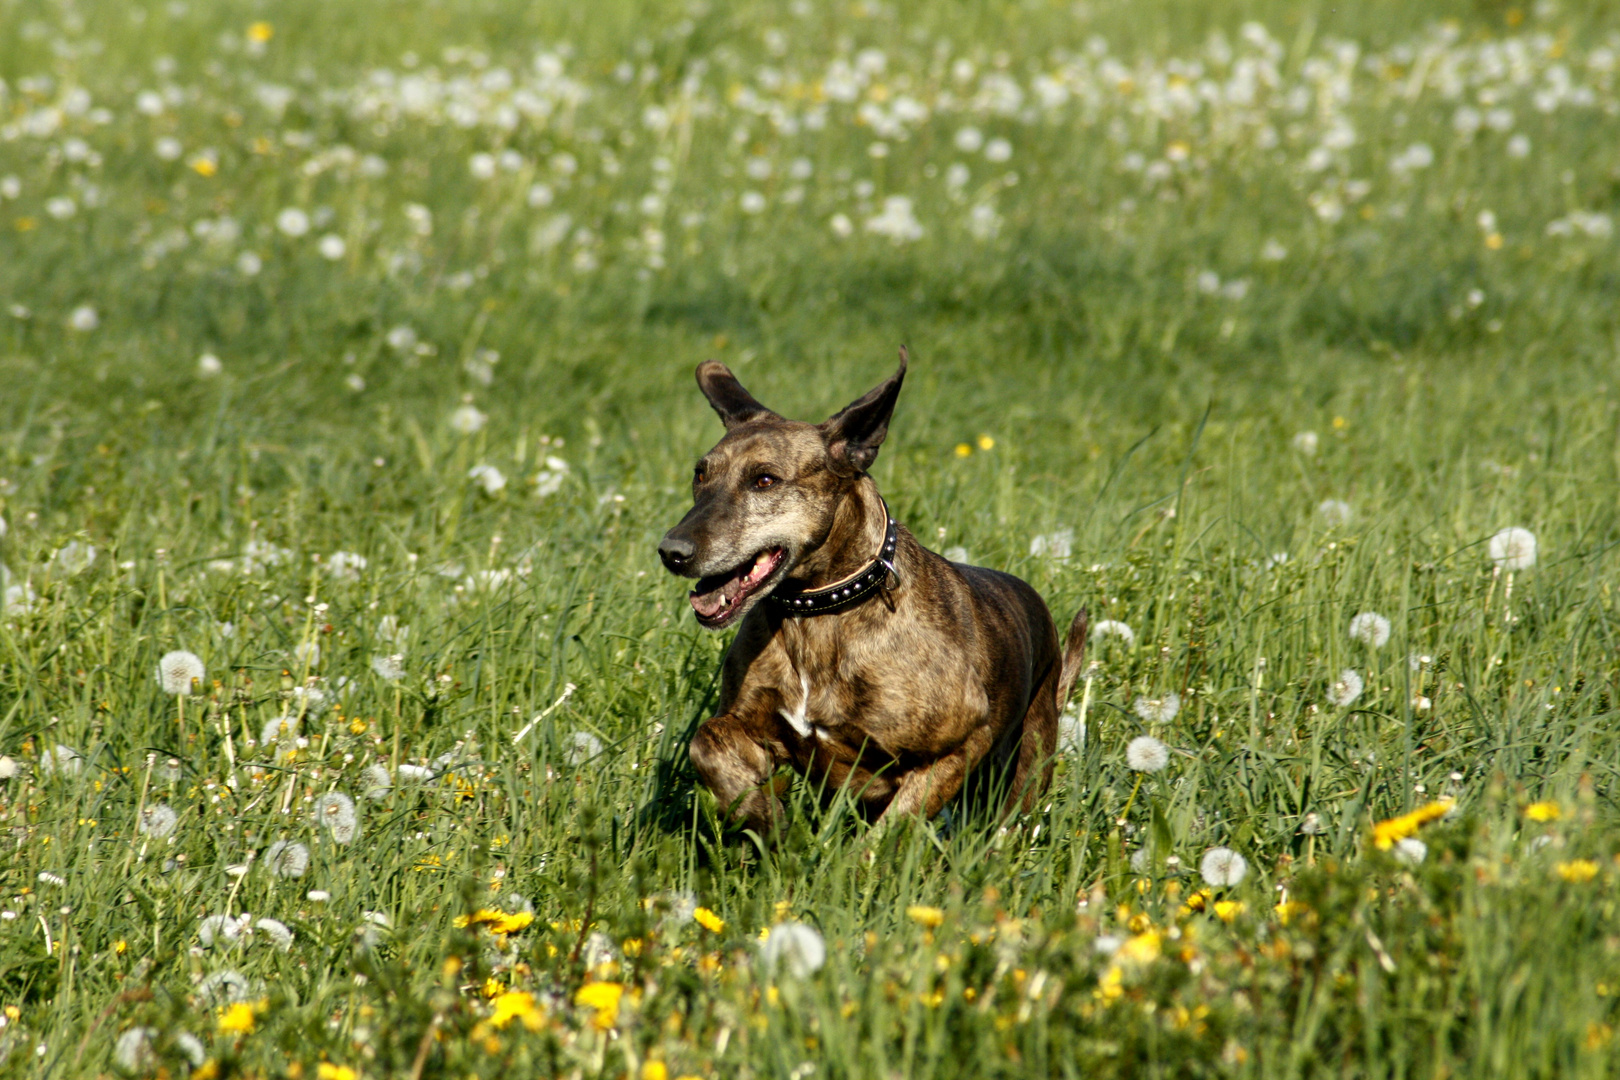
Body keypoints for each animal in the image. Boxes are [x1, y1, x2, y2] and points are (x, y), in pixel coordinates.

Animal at [657, 351, 1088, 841]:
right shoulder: (752, 725)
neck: (818, 612)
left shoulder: (962, 742)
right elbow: (706, 741)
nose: (672, 551)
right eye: (700, 474)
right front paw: (762, 814)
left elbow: (887, 833)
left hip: (1025, 767)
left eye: (764, 480)